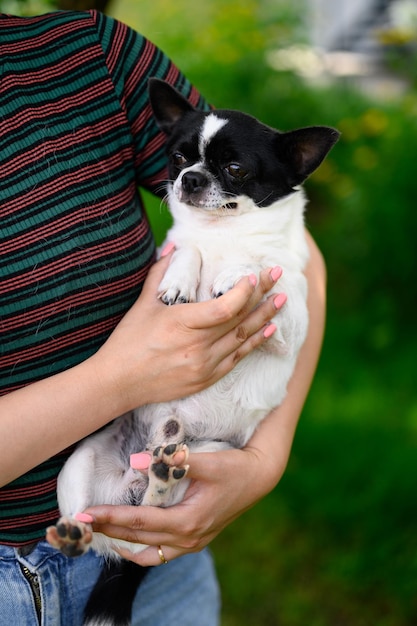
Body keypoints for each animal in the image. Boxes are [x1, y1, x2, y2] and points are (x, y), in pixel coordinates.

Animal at [46, 79, 338, 624]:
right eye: (179, 157)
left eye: (235, 168)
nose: (191, 177)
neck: (224, 233)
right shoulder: (178, 247)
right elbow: (186, 249)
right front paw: (183, 280)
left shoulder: (287, 321)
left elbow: (263, 271)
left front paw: (236, 273)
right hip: (80, 465)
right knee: (92, 524)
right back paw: (78, 530)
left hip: (207, 456)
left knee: (158, 505)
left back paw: (160, 475)